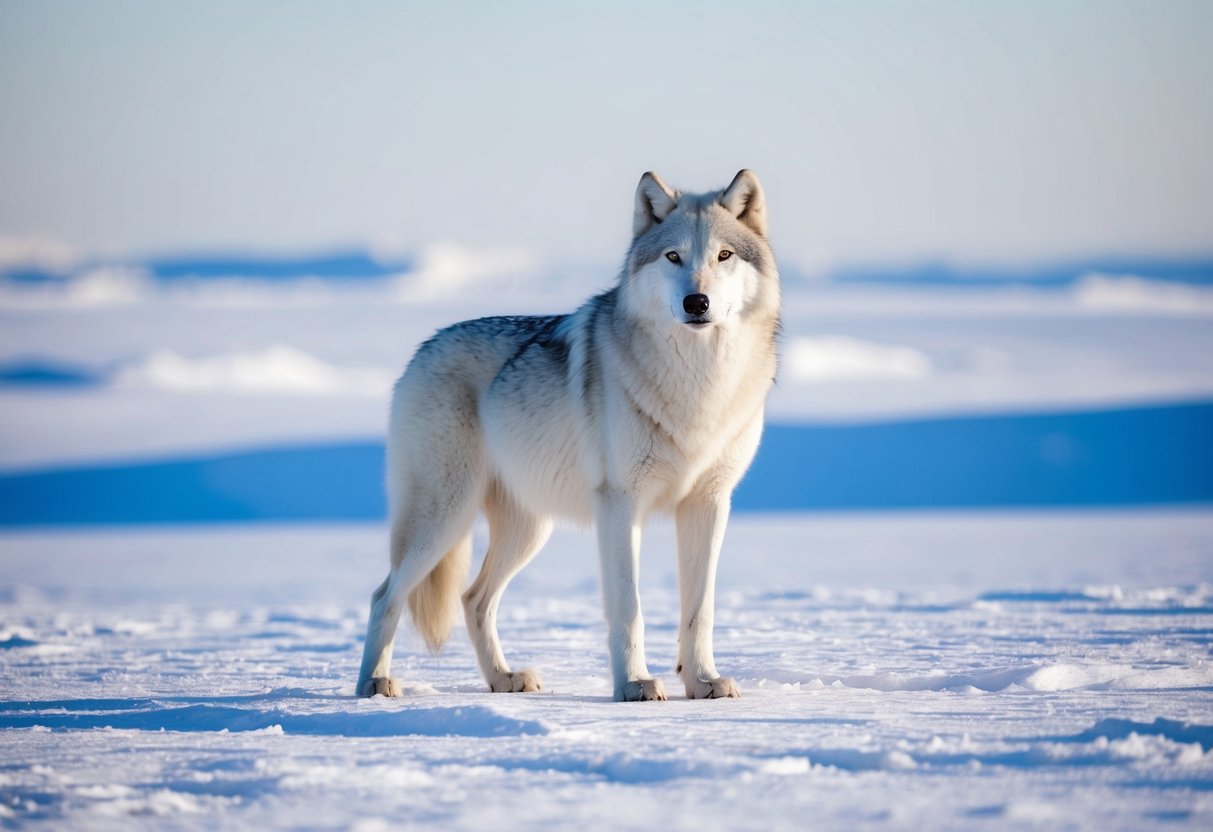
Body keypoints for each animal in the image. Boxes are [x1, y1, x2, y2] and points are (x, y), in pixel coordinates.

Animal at [356, 169, 780, 701]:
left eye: (724, 255)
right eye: (673, 256)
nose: (696, 302)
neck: (698, 385)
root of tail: (423, 349)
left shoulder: (708, 503)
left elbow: (699, 610)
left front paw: (702, 682)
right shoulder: (620, 504)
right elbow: (629, 608)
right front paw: (634, 685)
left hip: (527, 530)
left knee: (473, 599)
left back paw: (504, 679)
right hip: (444, 518)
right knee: (384, 595)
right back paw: (373, 682)